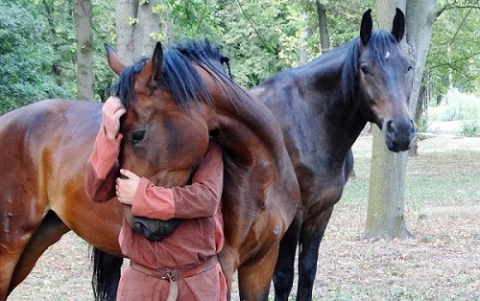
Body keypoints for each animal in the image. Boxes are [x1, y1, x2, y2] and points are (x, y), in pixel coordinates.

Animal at [0, 40, 300, 300]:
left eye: (138, 135)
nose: (140, 222)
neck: (260, 174)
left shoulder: (261, 263)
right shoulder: (224, 264)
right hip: (9, 246)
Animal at [251, 8, 416, 298]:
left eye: (407, 67)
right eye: (365, 69)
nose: (401, 131)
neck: (308, 123)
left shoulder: (322, 213)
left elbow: (308, 271)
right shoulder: (292, 217)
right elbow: (283, 278)